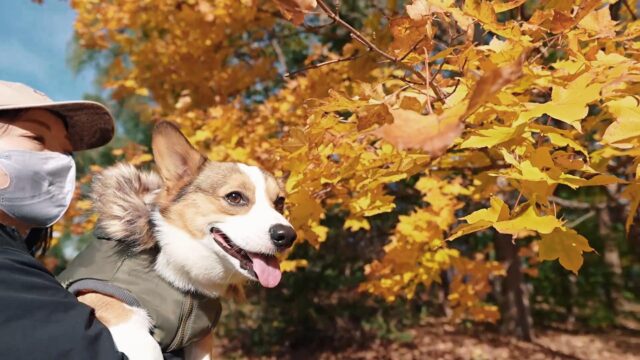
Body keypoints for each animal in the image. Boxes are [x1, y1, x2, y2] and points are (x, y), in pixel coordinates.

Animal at [60, 121, 298, 360]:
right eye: (234, 197)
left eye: (280, 202)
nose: (287, 236)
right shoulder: (112, 306)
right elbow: (150, 348)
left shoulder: (200, 339)